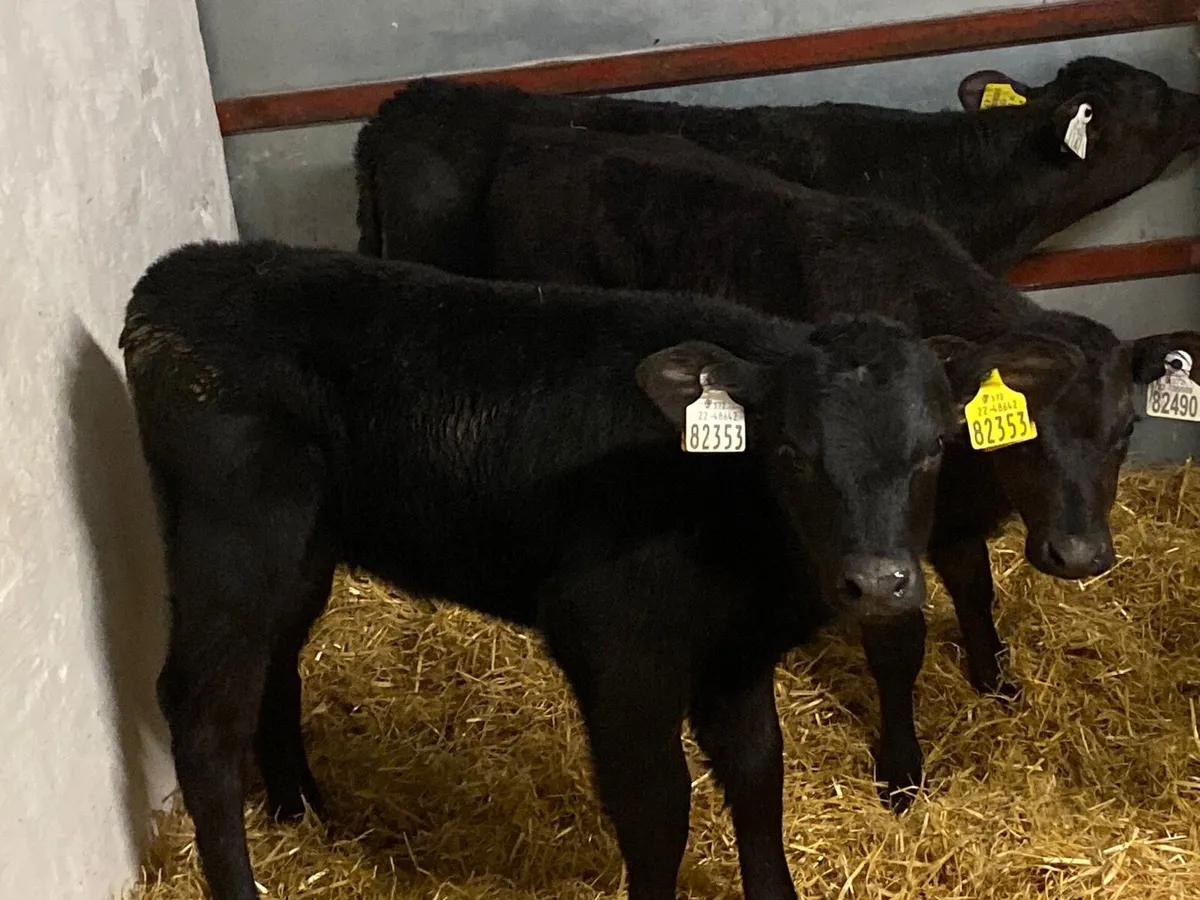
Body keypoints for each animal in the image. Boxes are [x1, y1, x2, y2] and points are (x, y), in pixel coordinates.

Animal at [121, 239, 1078, 900]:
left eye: (933, 449)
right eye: (793, 451)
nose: (877, 583)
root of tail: (176, 276)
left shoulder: (733, 655)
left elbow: (758, 776)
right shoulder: (615, 645)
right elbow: (656, 808)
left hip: (301, 551)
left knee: (272, 667)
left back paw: (302, 810)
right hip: (231, 541)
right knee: (202, 710)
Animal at [477, 123, 1200, 706]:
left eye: (1127, 430)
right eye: (1028, 439)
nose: (1076, 555)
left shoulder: (952, 519)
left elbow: (976, 590)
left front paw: (995, 682)